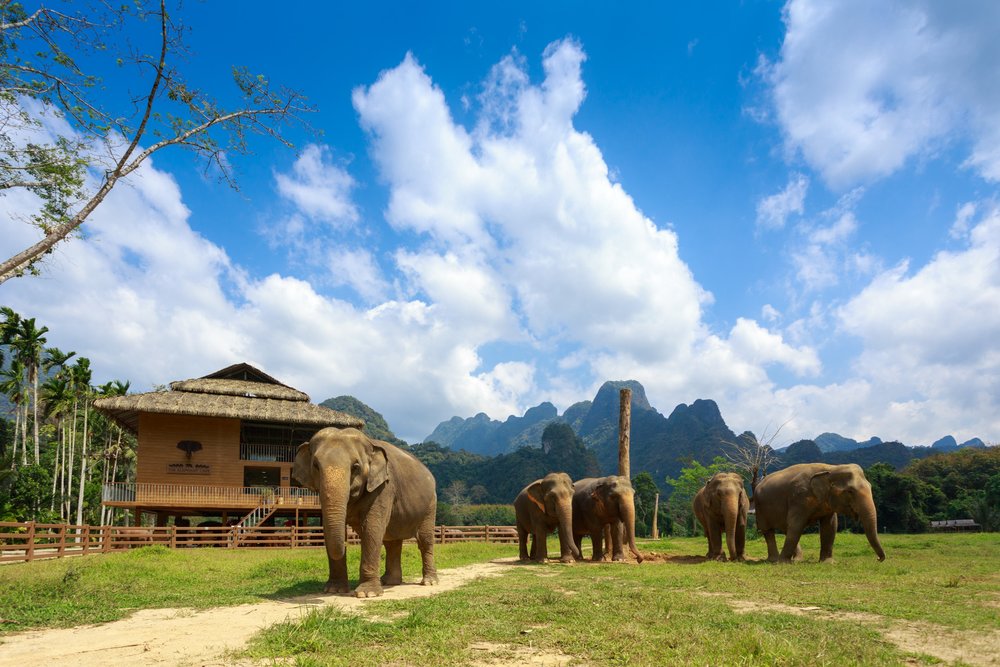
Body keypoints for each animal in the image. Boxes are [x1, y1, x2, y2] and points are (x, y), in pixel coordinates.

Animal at [292, 427, 438, 597]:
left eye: (355, 466)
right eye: (315, 465)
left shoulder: (384, 487)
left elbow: (372, 528)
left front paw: (367, 594)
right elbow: (329, 530)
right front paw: (334, 590)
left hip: (430, 505)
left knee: (424, 540)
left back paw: (429, 582)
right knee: (392, 542)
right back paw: (389, 582)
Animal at [753, 463, 886, 563]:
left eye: (870, 487)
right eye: (850, 491)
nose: (878, 559)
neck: (831, 468)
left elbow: (830, 526)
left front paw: (827, 562)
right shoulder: (799, 497)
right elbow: (796, 524)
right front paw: (783, 563)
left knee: (787, 529)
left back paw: (797, 560)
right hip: (760, 509)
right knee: (769, 531)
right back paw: (774, 560)